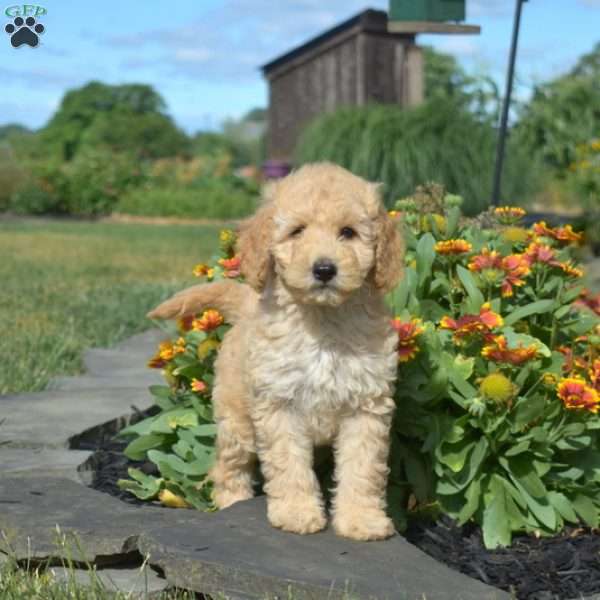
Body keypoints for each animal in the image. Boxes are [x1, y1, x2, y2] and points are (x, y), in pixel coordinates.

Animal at [149, 162, 404, 540]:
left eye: (348, 232)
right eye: (297, 231)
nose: (324, 269)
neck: (322, 322)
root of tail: (246, 306)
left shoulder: (366, 406)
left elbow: (363, 467)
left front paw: (362, 520)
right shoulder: (279, 404)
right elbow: (289, 465)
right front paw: (297, 513)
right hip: (236, 419)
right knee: (227, 466)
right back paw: (233, 502)